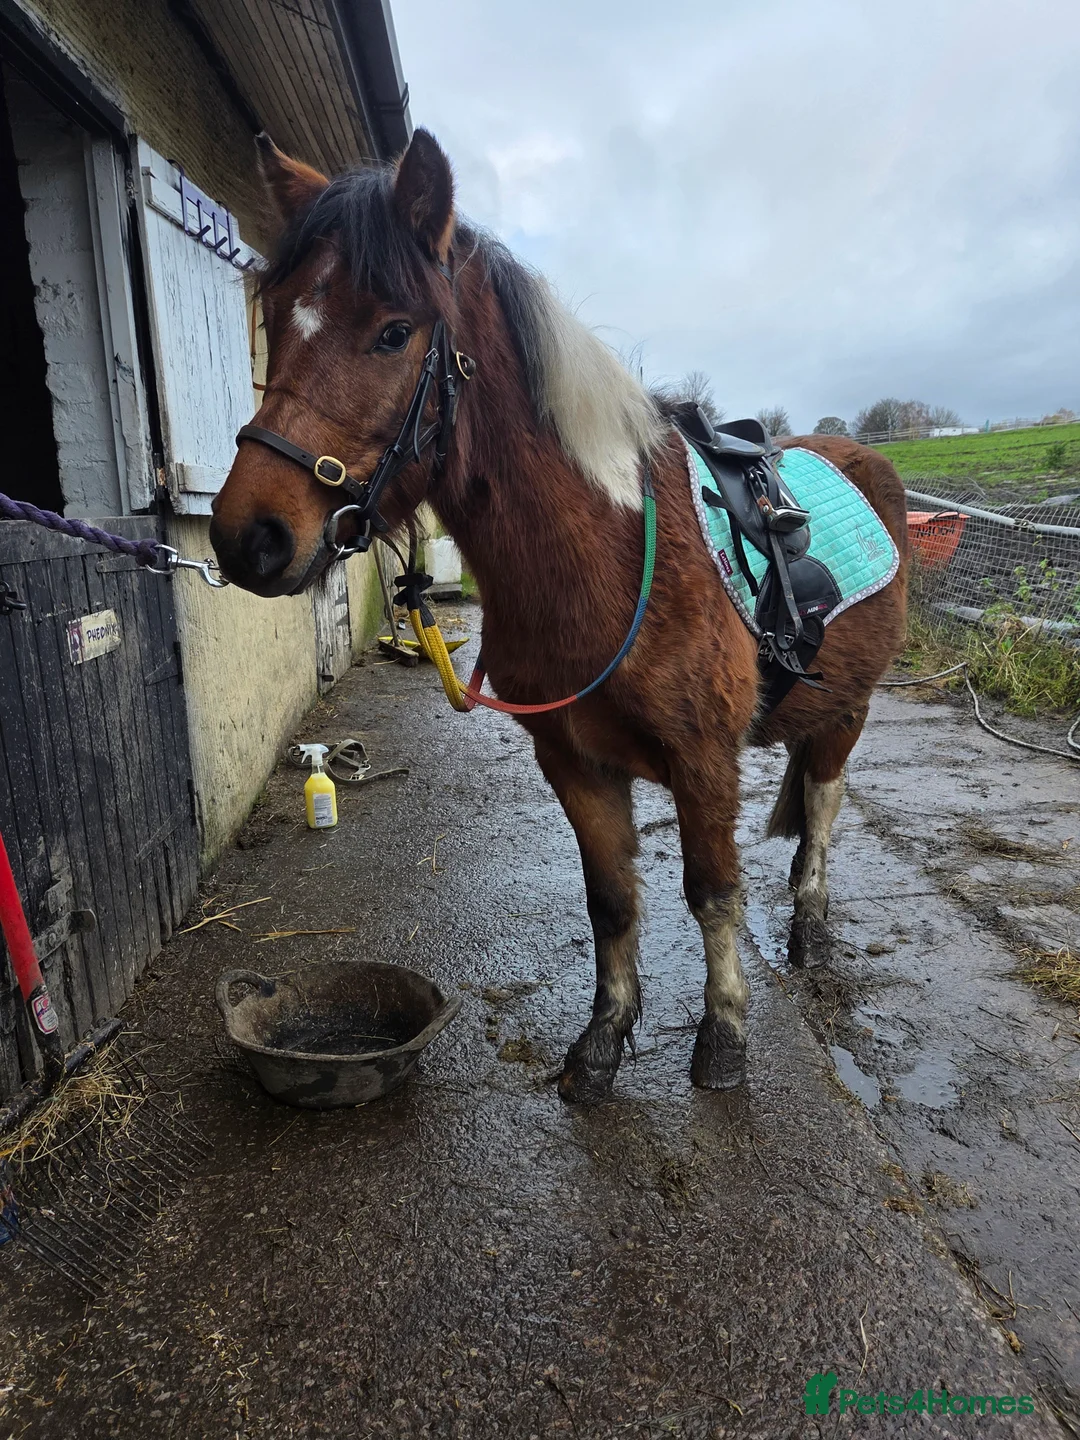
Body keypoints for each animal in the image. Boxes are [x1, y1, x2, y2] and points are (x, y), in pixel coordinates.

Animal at [210, 129, 909, 1103]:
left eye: (393, 332)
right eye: (275, 319)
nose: (250, 538)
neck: (606, 557)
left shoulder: (705, 762)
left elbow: (713, 893)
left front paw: (724, 1038)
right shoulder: (574, 762)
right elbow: (609, 899)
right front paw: (603, 1039)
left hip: (849, 709)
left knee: (824, 804)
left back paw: (810, 927)